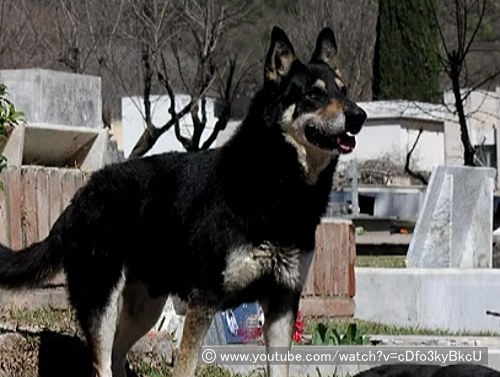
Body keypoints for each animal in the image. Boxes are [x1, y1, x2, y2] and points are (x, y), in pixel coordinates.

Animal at [0, 26, 368, 376]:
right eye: (315, 93)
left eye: (343, 90)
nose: (359, 116)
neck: (275, 182)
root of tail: (82, 194)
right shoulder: (205, 299)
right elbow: (185, 367)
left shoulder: (282, 301)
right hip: (101, 298)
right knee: (103, 363)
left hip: (146, 305)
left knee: (118, 356)